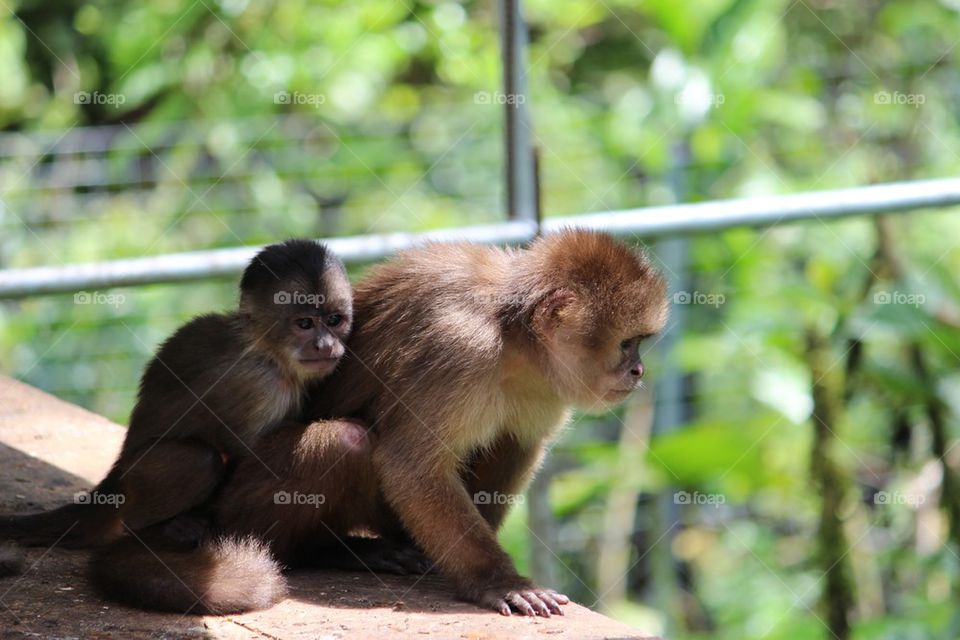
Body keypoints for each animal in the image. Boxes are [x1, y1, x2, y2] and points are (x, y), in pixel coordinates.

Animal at [0, 239, 353, 552]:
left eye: (334, 320)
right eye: (304, 323)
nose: (325, 345)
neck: (267, 351)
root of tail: (114, 479)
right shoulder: (259, 384)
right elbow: (247, 455)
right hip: (137, 482)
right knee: (200, 461)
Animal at [86, 229, 667, 618]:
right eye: (627, 345)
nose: (639, 370)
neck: (511, 336)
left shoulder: (547, 387)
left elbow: (516, 445)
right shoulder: (460, 348)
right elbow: (410, 465)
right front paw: (495, 581)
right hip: (230, 504)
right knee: (344, 441)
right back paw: (323, 551)